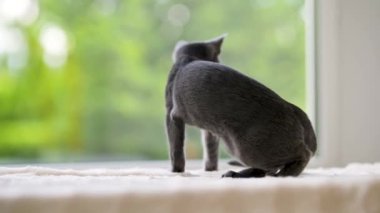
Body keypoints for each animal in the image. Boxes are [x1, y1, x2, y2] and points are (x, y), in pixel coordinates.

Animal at [165, 34, 316, 178]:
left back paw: (284, 174)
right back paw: (237, 174)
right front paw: (210, 170)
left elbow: (175, 150)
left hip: (244, 147)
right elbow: (210, 151)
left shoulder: (172, 115)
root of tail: (293, 108)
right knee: (265, 169)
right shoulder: (209, 130)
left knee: (303, 154)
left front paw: (176, 172)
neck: (190, 57)